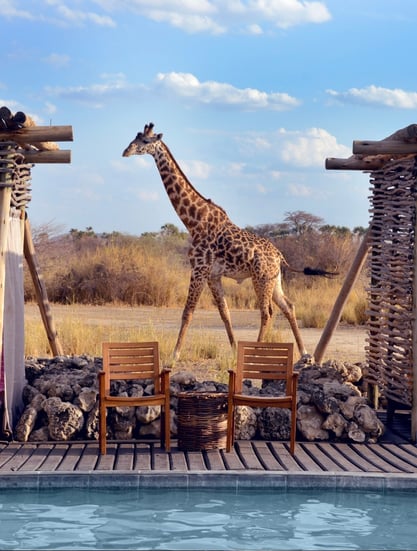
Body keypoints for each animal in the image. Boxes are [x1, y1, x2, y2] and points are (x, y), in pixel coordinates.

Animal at [122, 123, 334, 360]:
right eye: (135, 137)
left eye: (144, 141)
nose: (125, 151)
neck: (194, 221)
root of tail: (280, 256)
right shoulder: (213, 275)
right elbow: (225, 313)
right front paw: (233, 349)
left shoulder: (199, 269)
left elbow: (188, 312)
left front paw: (175, 355)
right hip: (274, 279)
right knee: (288, 306)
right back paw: (304, 352)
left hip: (261, 279)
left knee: (267, 312)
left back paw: (257, 352)